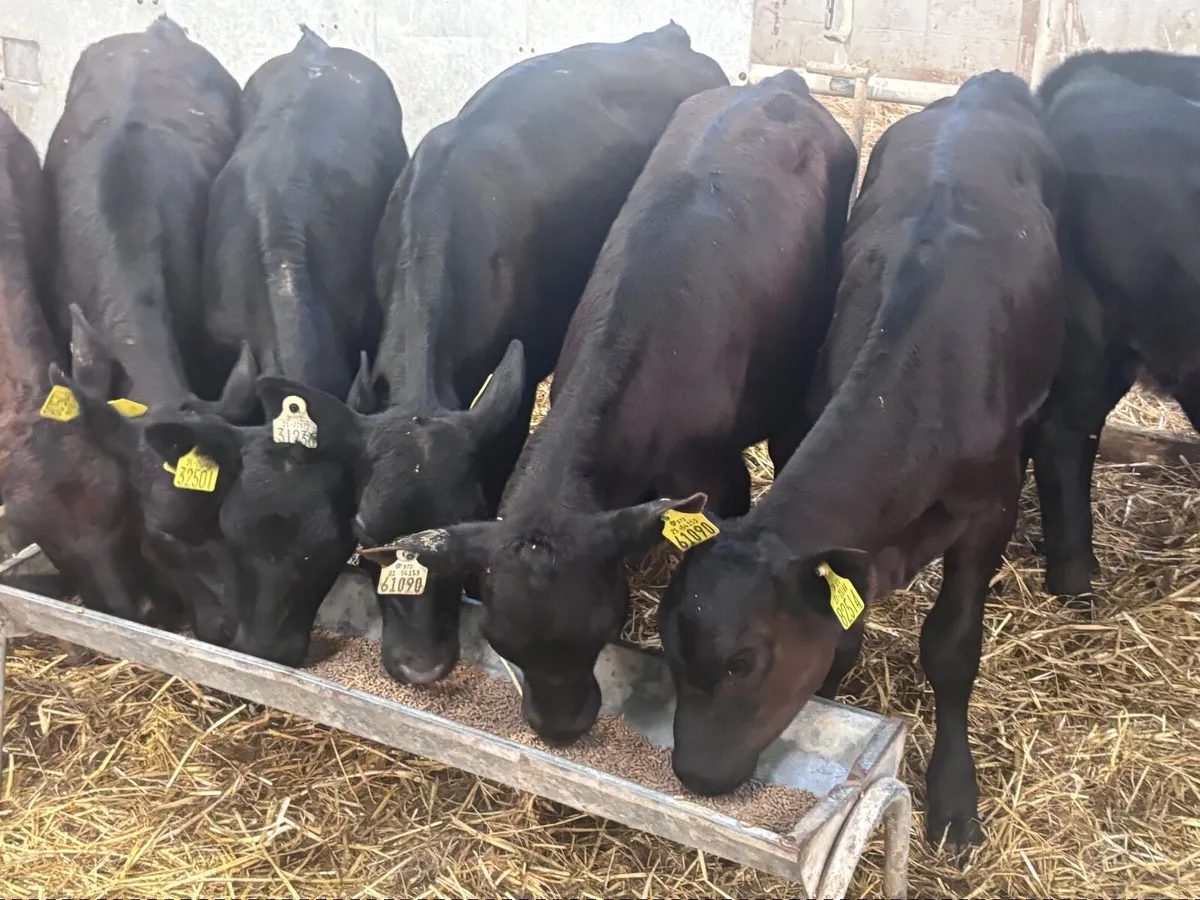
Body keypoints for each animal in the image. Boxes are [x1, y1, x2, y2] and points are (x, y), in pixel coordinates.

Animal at [650, 72, 1063, 857]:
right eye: (666, 643)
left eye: (745, 661)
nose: (694, 773)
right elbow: (842, 635)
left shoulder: (989, 510)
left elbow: (951, 648)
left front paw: (954, 798)